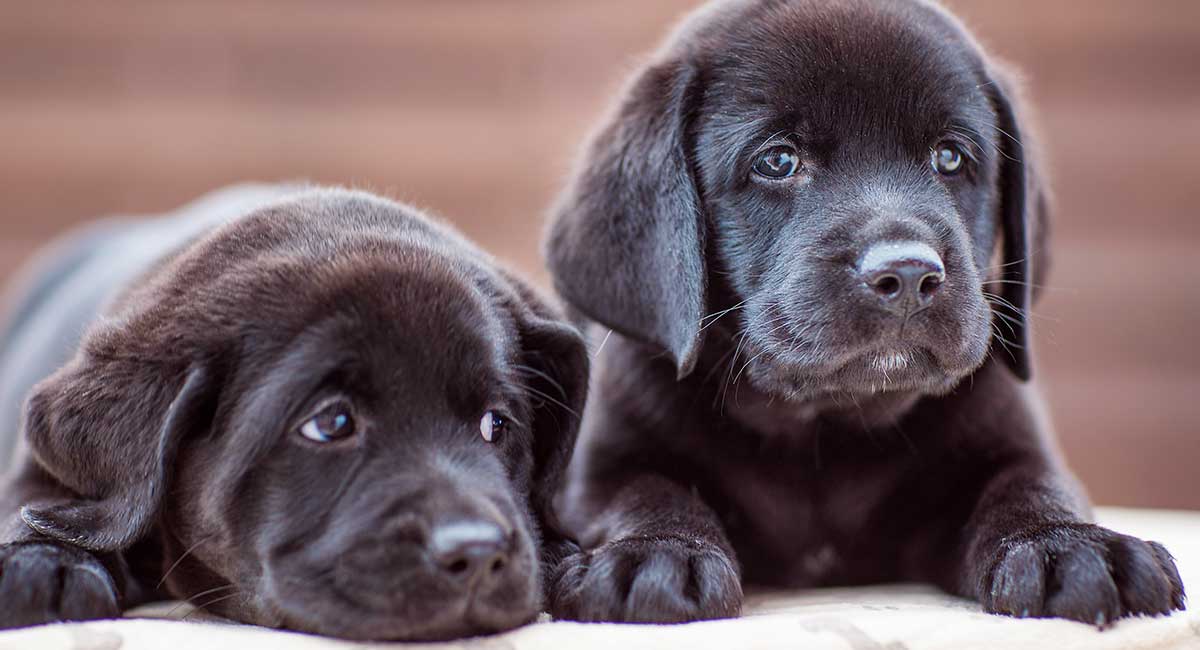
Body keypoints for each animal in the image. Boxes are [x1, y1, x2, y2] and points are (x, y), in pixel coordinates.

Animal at [0, 184, 585, 642]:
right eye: (330, 423)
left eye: (496, 425)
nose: (478, 552)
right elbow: (36, 499)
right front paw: (41, 559)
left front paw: (571, 560)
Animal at [544, 0, 1180, 628]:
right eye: (778, 160)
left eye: (950, 157)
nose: (908, 276)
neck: (824, 427)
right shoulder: (600, 466)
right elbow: (641, 490)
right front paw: (656, 552)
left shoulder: (1011, 440)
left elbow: (1029, 484)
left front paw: (1067, 543)